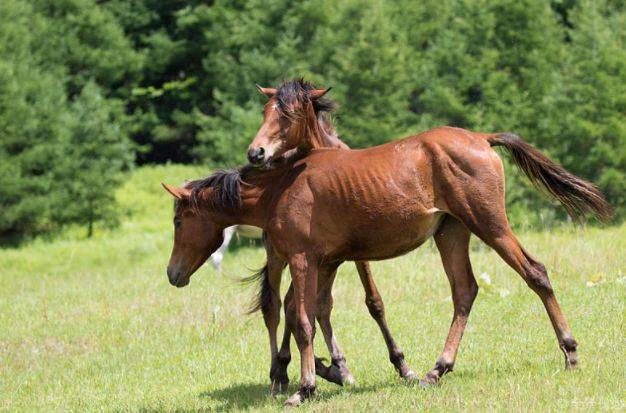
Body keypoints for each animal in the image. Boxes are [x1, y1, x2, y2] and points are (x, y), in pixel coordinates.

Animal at [163, 80, 608, 406]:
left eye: (179, 220)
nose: (173, 274)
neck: (284, 185)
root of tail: (481, 138)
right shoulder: (323, 261)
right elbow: (307, 312)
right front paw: (323, 371)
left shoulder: (306, 260)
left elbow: (304, 320)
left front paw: (304, 386)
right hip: (451, 233)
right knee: (464, 291)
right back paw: (436, 369)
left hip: (489, 224)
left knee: (535, 273)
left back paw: (569, 352)